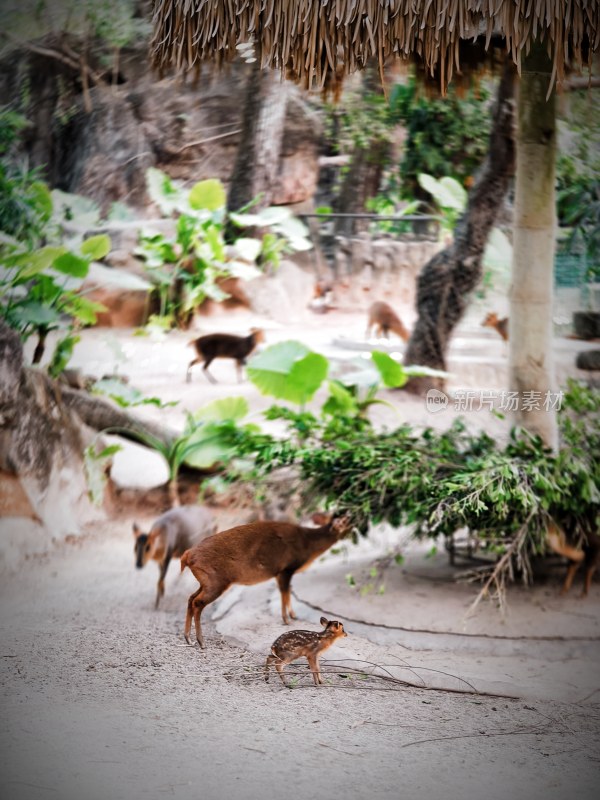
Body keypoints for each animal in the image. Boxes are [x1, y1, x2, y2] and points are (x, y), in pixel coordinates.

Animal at [180, 512, 354, 648]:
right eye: (345, 521)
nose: (353, 518)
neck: (307, 545)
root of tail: (187, 556)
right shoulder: (286, 568)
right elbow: (284, 593)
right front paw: (287, 620)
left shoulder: (281, 572)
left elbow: (287, 592)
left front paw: (293, 615)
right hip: (216, 580)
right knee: (198, 602)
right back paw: (201, 642)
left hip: (205, 580)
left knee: (190, 598)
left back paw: (188, 638)